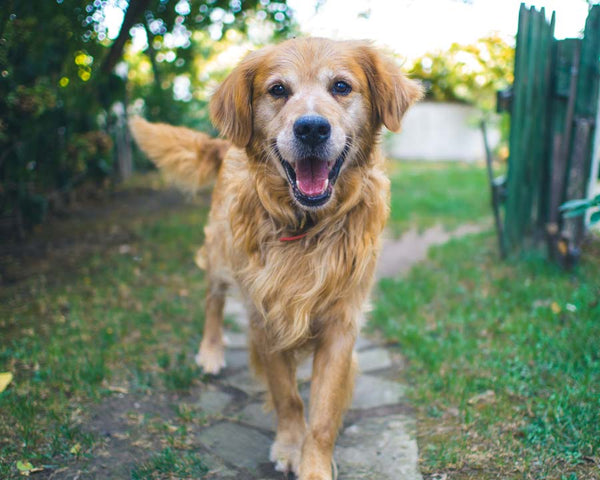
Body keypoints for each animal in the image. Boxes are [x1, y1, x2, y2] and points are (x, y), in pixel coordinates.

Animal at [130, 37, 422, 480]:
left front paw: (313, 465)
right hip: (220, 255)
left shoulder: (341, 324)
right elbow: (288, 396)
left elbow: (322, 414)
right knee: (213, 301)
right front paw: (288, 446)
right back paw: (211, 352)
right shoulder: (264, 317)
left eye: (341, 86)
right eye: (278, 90)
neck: (307, 227)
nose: (312, 128)